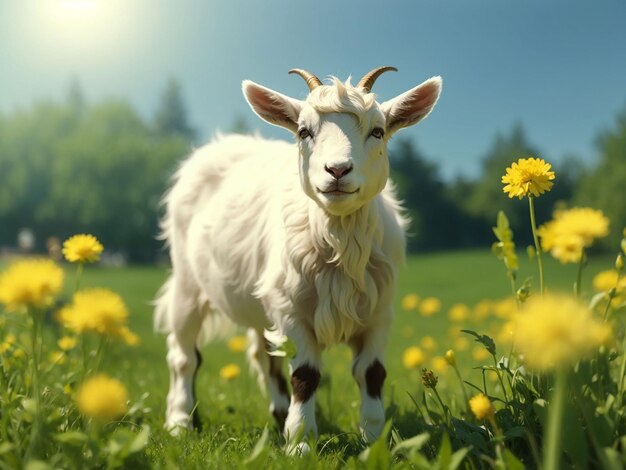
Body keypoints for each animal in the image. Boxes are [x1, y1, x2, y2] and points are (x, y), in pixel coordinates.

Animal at [154, 67, 442, 452]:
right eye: (304, 131)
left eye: (378, 131)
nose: (337, 170)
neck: (339, 239)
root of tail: (221, 144)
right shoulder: (292, 310)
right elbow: (306, 373)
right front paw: (301, 444)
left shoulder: (379, 312)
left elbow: (371, 372)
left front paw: (373, 440)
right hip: (187, 282)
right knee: (183, 355)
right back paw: (180, 421)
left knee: (264, 355)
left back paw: (277, 415)